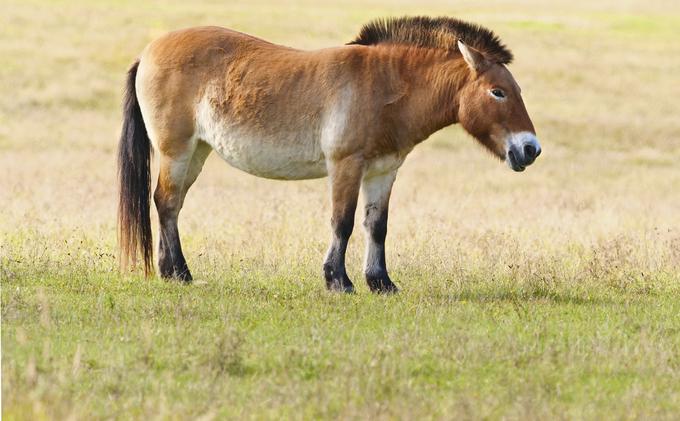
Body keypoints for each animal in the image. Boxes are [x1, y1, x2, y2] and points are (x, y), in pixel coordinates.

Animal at [117, 15, 540, 292]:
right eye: (498, 92)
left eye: (516, 90)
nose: (530, 149)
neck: (384, 87)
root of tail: (147, 52)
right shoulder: (345, 166)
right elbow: (343, 222)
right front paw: (338, 281)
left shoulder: (382, 171)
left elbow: (376, 226)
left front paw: (381, 282)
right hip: (177, 151)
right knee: (166, 202)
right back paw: (180, 273)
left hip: (198, 152)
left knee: (169, 205)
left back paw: (170, 271)